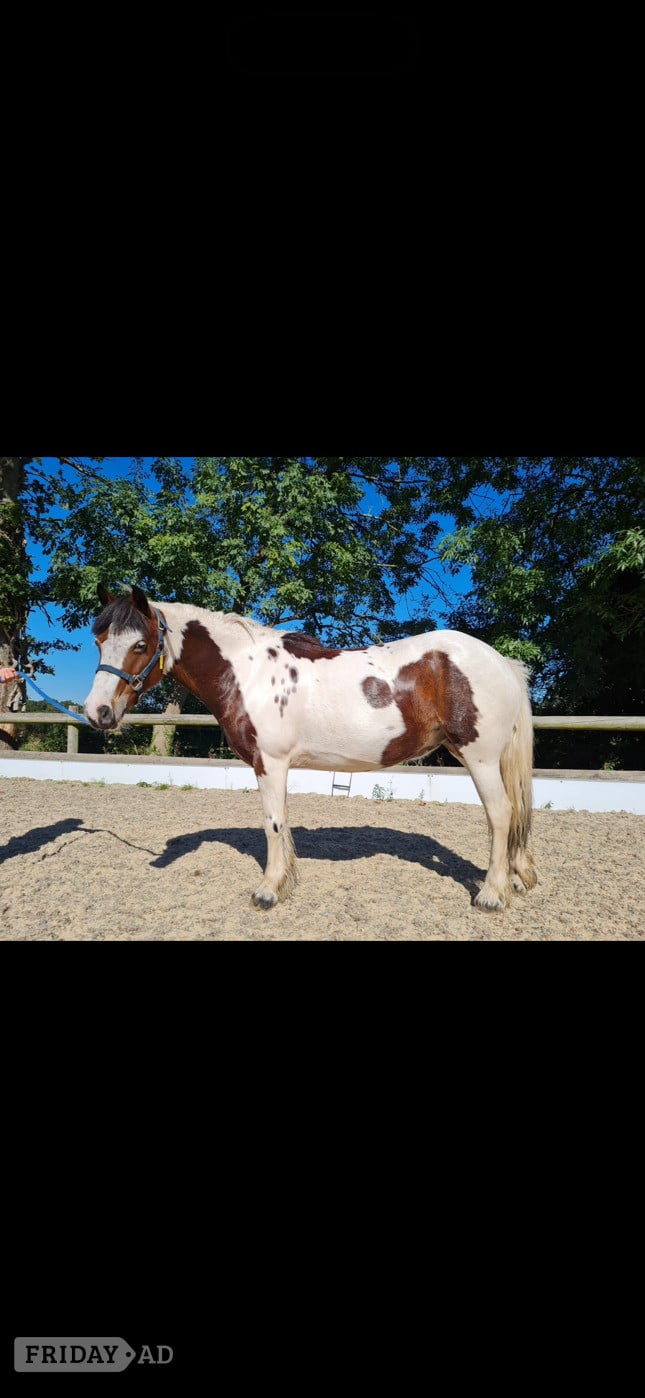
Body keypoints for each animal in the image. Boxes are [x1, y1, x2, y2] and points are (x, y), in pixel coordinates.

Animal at [84, 586, 538, 912]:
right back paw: (518, 877)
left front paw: (268, 891)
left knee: (500, 814)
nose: (96, 712)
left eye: (140, 645)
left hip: (479, 757)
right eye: (100, 641)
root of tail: (501, 661)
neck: (249, 673)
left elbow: (273, 823)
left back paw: (491, 895)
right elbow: (281, 823)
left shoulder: (270, 763)